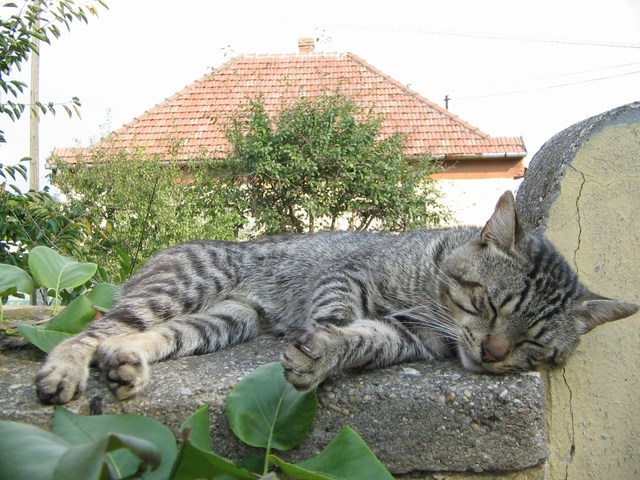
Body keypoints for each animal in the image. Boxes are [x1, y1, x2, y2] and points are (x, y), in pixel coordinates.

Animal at [35, 191, 637, 404]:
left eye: (533, 345)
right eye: (489, 304)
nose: (492, 354)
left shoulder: (405, 338)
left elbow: (362, 340)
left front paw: (327, 354)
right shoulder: (346, 276)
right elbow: (334, 315)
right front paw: (320, 342)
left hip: (227, 320)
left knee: (140, 338)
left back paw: (126, 362)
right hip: (182, 285)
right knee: (91, 330)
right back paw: (64, 369)